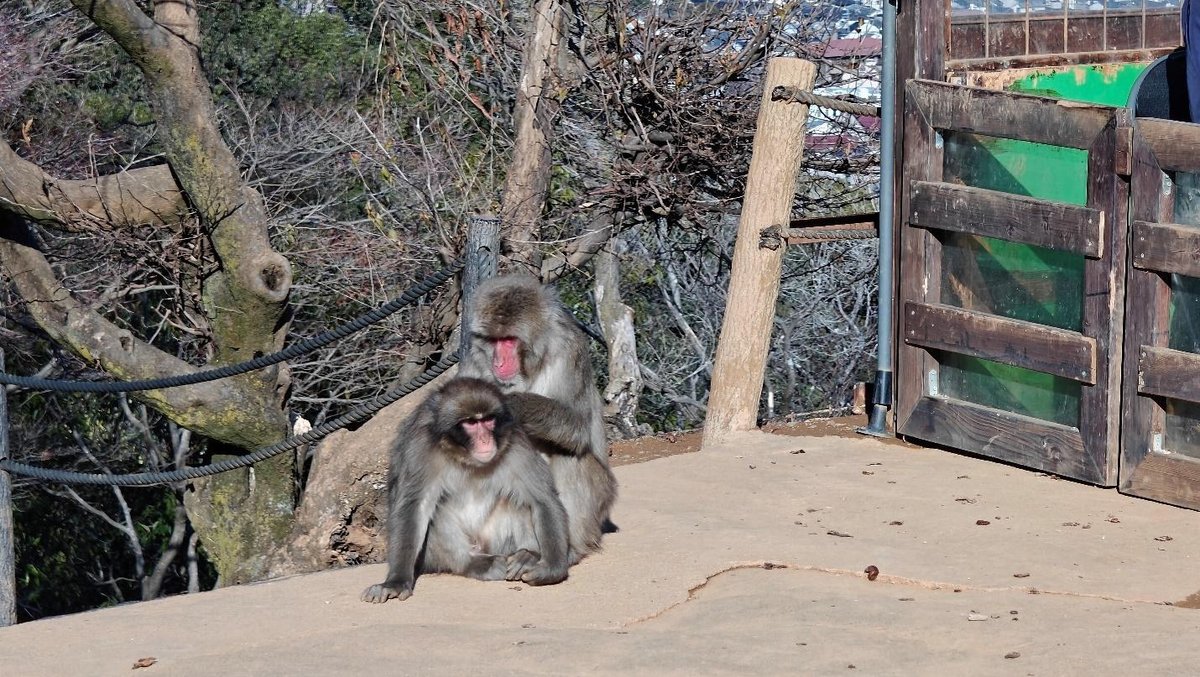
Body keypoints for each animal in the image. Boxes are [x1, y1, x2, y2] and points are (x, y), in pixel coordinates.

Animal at [361, 377, 570, 603]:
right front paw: (396, 582)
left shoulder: (515, 443)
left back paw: (527, 555)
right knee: (437, 509)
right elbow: (415, 506)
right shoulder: (419, 448)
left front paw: (551, 569)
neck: (465, 457)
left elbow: (542, 499)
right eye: (471, 423)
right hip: (435, 556)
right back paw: (473, 563)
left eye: (488, 420)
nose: (486, 440)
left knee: (517, 501)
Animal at [459, 274, 618, 566]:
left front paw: (513, 405)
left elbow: (578, 427)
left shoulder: (569, 351)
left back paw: (567, 550)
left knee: (568, 455)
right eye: (493, 340)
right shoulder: (474, 361)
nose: (498, 362)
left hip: (601, 501)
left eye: (509, 340)